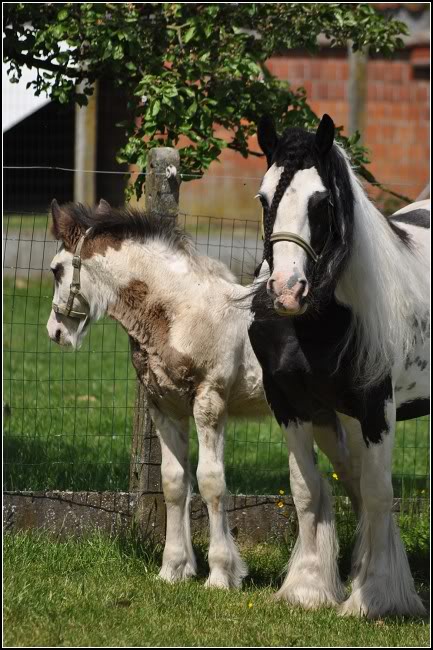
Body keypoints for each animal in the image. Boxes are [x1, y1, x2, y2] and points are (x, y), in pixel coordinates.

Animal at [246, 114, 428, 616]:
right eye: (263, 198)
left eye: (321, 201)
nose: (286, 291)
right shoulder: (294, 404)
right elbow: (311, 489)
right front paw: (310, 588)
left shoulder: (377, 405)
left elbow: (379, 492)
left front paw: (377, 596)